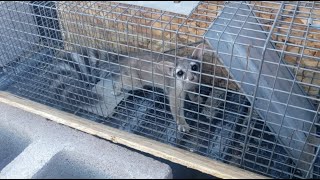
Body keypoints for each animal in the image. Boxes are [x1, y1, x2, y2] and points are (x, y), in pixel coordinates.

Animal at [47, 43, 205, 132]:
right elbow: (176, 106)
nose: (191, 78)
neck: (185, 83)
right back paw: (117, 86)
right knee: (126, 82)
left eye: (194, 67)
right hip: (134, 79)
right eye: (180, 73)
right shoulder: (174, 87)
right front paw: (181, 122)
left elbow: (192, 90)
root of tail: (125, 58)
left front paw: (194, 96)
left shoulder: (192, 83)